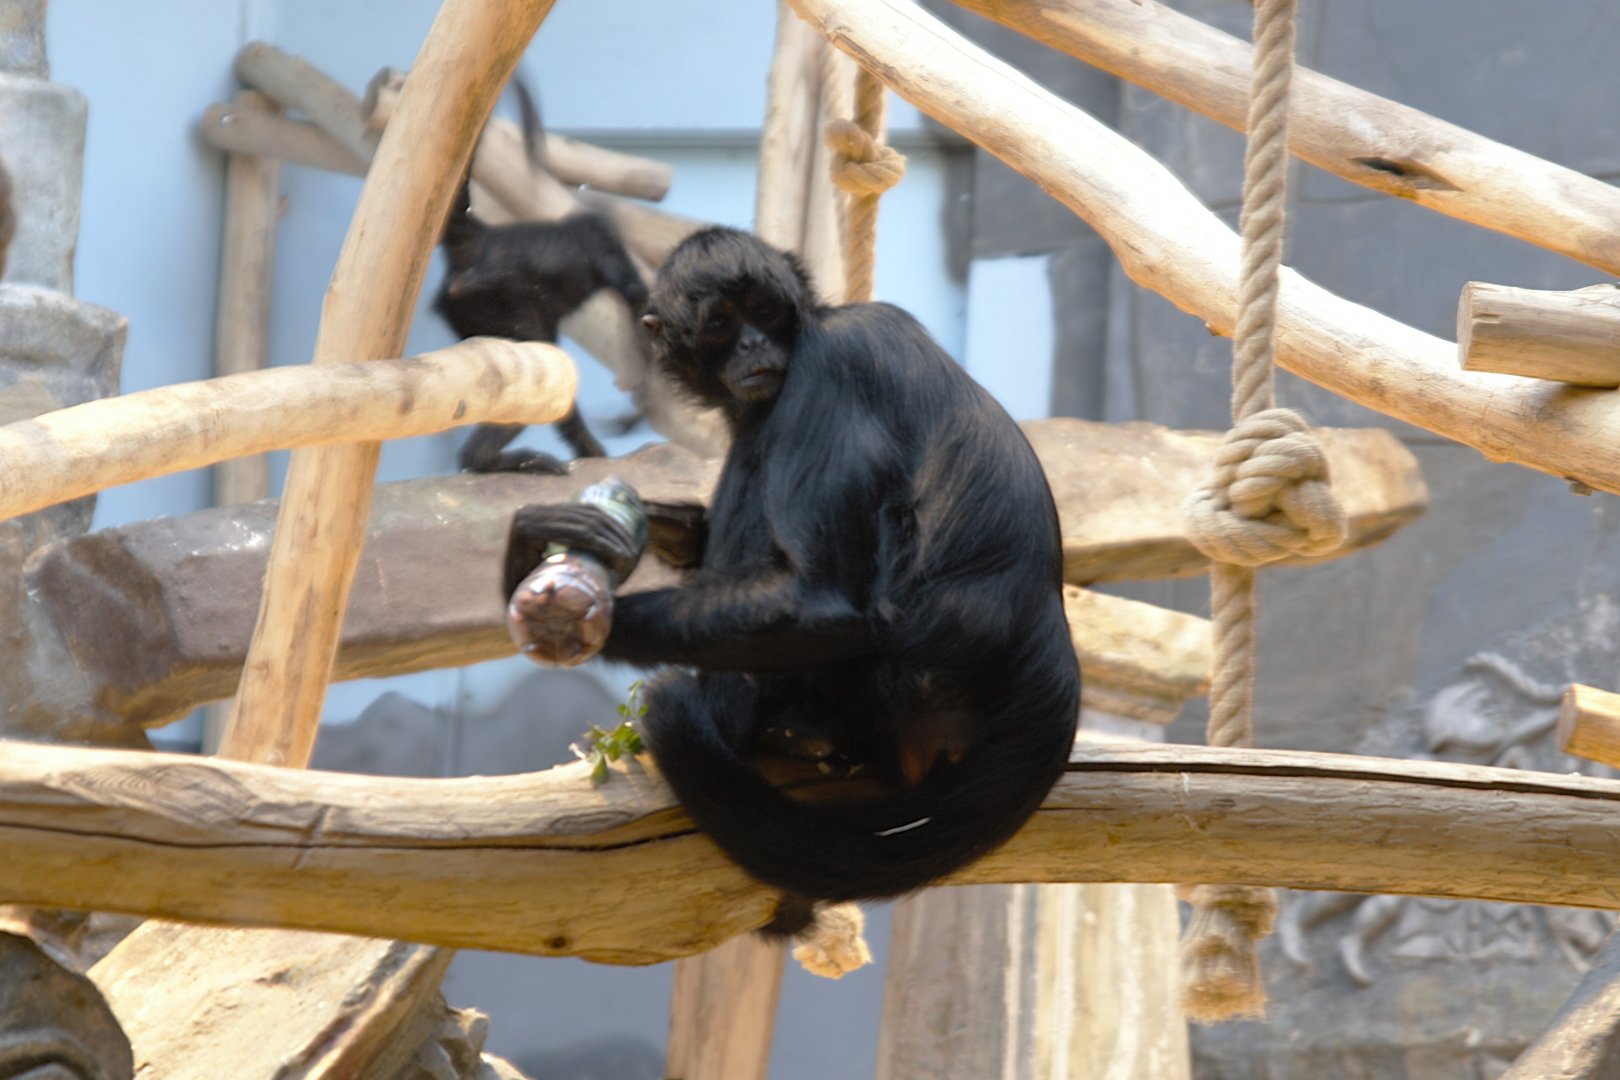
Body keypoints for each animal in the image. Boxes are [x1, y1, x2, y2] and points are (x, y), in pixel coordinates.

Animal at [503, 227, 1079, 934]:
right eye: (721, 324)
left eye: (766, 312)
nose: (754, 346)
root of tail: (1049, 644)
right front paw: (616, 528)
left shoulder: (827, 370)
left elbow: (825, 604)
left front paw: (576, 605)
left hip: (904, 686)